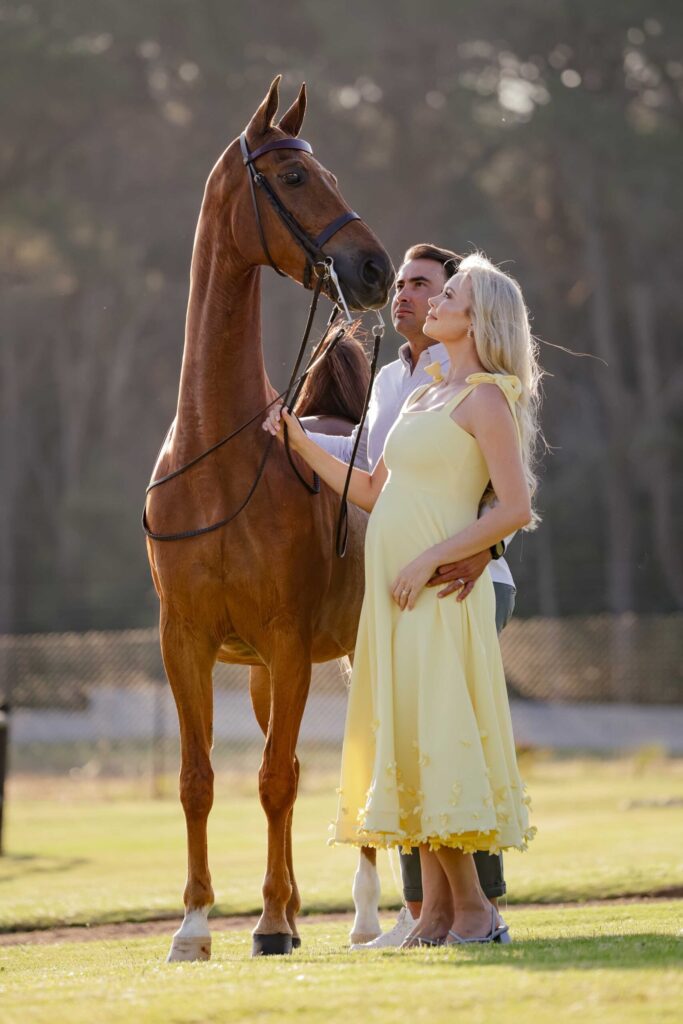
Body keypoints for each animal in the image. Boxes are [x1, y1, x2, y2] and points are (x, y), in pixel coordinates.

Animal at [144, 76, 393, 960]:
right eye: (291, 177)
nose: (373, 267)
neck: (217, 466)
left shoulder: (289, 644)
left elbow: (277, 779)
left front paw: (274, 923)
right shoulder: (186, 642)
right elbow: (201, 780)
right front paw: (195, 925)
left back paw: (363, 917)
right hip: (261, 674)